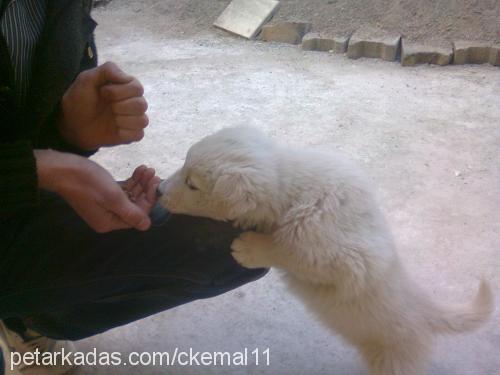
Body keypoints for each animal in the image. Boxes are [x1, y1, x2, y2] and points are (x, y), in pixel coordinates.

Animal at [158, 128, 494, 374]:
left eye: (192, 184)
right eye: (184, 163)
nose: (159, 191)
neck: (291, 188)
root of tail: (426, 310)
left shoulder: (346, 258)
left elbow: (292, 249)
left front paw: (250, 247)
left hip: (395, 358)